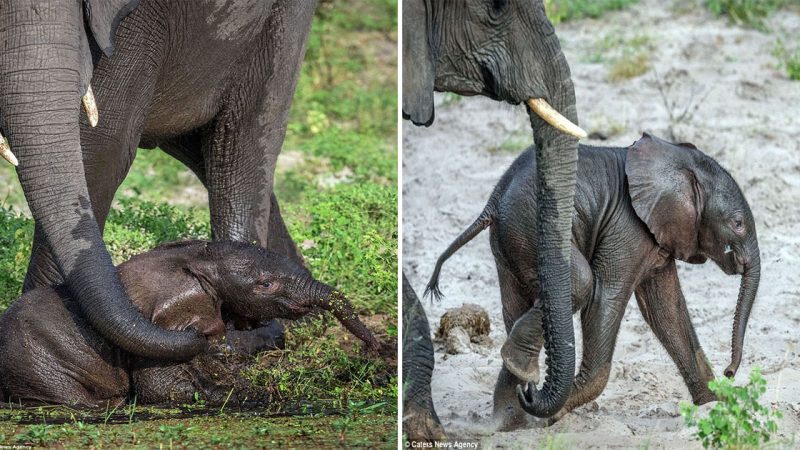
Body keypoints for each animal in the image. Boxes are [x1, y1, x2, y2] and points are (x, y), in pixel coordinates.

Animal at [0, 0, 318, 358]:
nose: (199, 333)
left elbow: (99, 148)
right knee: (200, 149)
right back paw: (298, 314)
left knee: (243, 136)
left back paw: (251, 337)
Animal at [0, 241, 382, 406]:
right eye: (265, 284)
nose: (375, 348)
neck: (199, 258)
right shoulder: (165, 324)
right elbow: (161, 389)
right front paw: (262, 395)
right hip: (40, 366)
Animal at [428, 132, 760, 428]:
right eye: (738, 224)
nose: (730, 371)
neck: (678, 159)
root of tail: (494, 200)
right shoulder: (627, 227)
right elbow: (605, 297)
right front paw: (554, 415)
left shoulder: (659, 234)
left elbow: (666, 312)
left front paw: (716, 408)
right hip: (531, 229)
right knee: (580, 284)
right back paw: (523, 390)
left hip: (511, 241)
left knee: (517, 305)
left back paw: (509, 417)